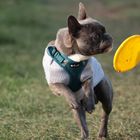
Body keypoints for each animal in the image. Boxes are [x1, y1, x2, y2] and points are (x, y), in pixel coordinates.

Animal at [42, 2, 112, 139]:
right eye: (95, 36)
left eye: (105, 31)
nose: (108, 36)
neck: (74, 59)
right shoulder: (54, 83)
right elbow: (65, 88)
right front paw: (71, 99)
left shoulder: (88, 76)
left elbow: (88, 88)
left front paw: (89, 103)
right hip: (78, 111)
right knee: (82, 122)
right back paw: (84, 134)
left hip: (106, 94)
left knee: (105, 113)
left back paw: (102, 132)